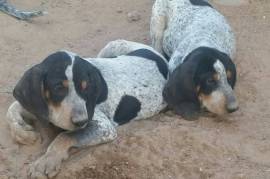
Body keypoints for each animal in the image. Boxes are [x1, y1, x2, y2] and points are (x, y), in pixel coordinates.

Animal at [5, 39, 167, 178]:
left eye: (86, 87)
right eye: (58, 88)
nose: (81, 122)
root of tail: (160, 58)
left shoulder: (105, 128)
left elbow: (65, 136)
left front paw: (46, 161)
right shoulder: (41, 108)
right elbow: (12, 109)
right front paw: (23, 134)